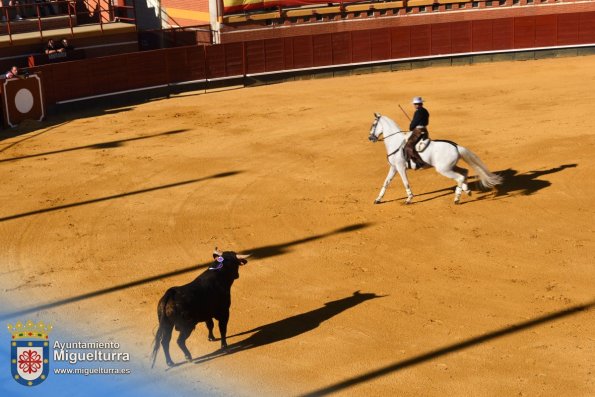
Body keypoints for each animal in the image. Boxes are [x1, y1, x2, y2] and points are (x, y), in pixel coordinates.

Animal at [368, 112, 502, 203]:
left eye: (373, 124)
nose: (370, 138)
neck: (395, 141)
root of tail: (456, 146)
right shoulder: (393, 167)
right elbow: (386, 182)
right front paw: (378, 199)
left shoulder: (400, 168)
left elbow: (405, 182)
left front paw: (409, 199)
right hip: (450, 167)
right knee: (464, 172)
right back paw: (466, 190)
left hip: (444, 169)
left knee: (459, 177)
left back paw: (457, 198)